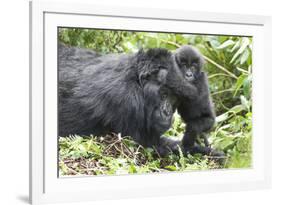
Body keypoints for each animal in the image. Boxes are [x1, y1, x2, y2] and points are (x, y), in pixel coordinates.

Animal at [58, 42, 222, 155]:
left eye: (174, 99)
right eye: (163, 95)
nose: (167, 113)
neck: (136, 80)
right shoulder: (125, 100)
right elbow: (150, 146)